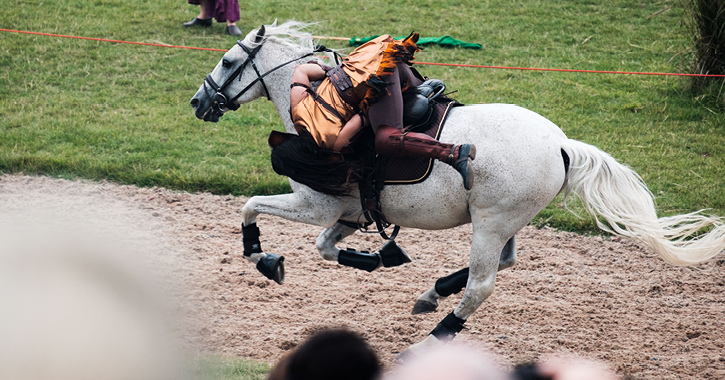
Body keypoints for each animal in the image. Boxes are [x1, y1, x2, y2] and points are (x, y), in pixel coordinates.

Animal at [191, 20, 724, 354]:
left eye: (227, 61)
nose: (199, 102)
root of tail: (561, 143)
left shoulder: (314, 203)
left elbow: (250, 207)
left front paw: (262, 256)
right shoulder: (351, 212)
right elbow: (325, 247)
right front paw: (375, 258)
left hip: (490, 222)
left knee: (482, 284)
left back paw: (433, 336)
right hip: (503, 221)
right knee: (503, 263)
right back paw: (433, 292)